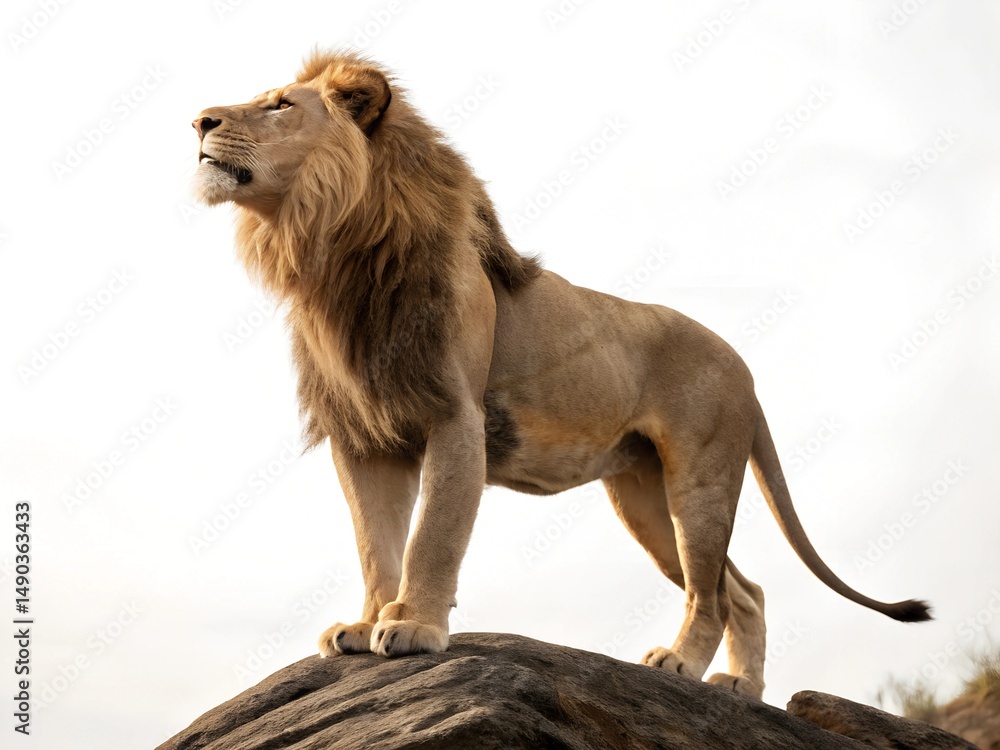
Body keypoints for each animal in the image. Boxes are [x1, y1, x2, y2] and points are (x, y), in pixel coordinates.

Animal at [191, 50, 930, 699]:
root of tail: (743, 364)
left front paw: (412, 628)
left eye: (280, 105)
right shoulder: (365, 437)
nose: (198, 121)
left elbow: (432, 536)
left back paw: (680, 665)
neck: (331, 249)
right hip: (643, 498)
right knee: (742, 588)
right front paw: (366, 622)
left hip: (700, 477)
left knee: (711, 592)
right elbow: (377, 544)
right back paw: (741, 686)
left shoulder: (454, 416)